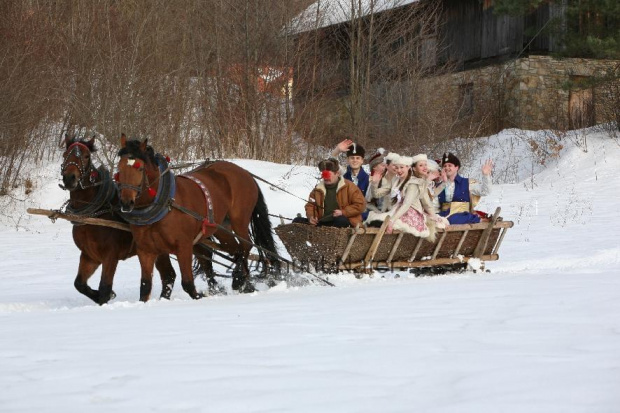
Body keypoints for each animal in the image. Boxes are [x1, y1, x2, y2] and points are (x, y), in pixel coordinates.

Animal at [59, 134, 177, 302]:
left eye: (86, 156)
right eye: (64, 155)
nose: (70, 178)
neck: (95, 215)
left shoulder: (110, 256)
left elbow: (104, 287)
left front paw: (106, 297)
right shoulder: (89, 256)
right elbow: (79, 284)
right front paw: (106, 295)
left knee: (169, 275)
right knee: (169, 275)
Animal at [117, 135, 278, 300]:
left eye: (140, 168)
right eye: (119, 168)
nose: (126, 202)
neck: (164, 204)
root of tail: (245, 172)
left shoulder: (184, 246)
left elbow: (188, 283)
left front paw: (202, 296)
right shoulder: (147, 250)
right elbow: (147, 286)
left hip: (239, 220)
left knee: (246, 246)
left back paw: (239, 279)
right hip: (221, 228)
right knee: (236, 250)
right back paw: (244, 282)